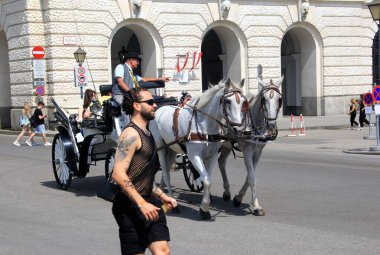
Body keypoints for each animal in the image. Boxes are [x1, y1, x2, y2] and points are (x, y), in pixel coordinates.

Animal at [150, 79, 248, 219]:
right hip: (161, 149)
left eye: (243, 103)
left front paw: (205, 206)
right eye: (228, 101)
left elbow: (208, 178)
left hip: (172, 150)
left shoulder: (212, 156)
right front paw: (205, 208)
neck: (205, 125)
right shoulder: (194, 156)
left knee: (166, 171)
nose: (238, 129)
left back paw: (164, 195)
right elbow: (206, 180)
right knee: (166, 173)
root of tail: (159, 110)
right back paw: (173, 203)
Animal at [217, 71, 282, 215]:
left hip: (226, 146)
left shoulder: (258, 152)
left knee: (221, 162)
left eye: (279, 100)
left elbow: (249, 176)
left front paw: (238, 198)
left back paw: (227, 192)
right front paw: (256, 206)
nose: (271, 125)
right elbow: (252, 177)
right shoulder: (247, 150)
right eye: (264, 99)